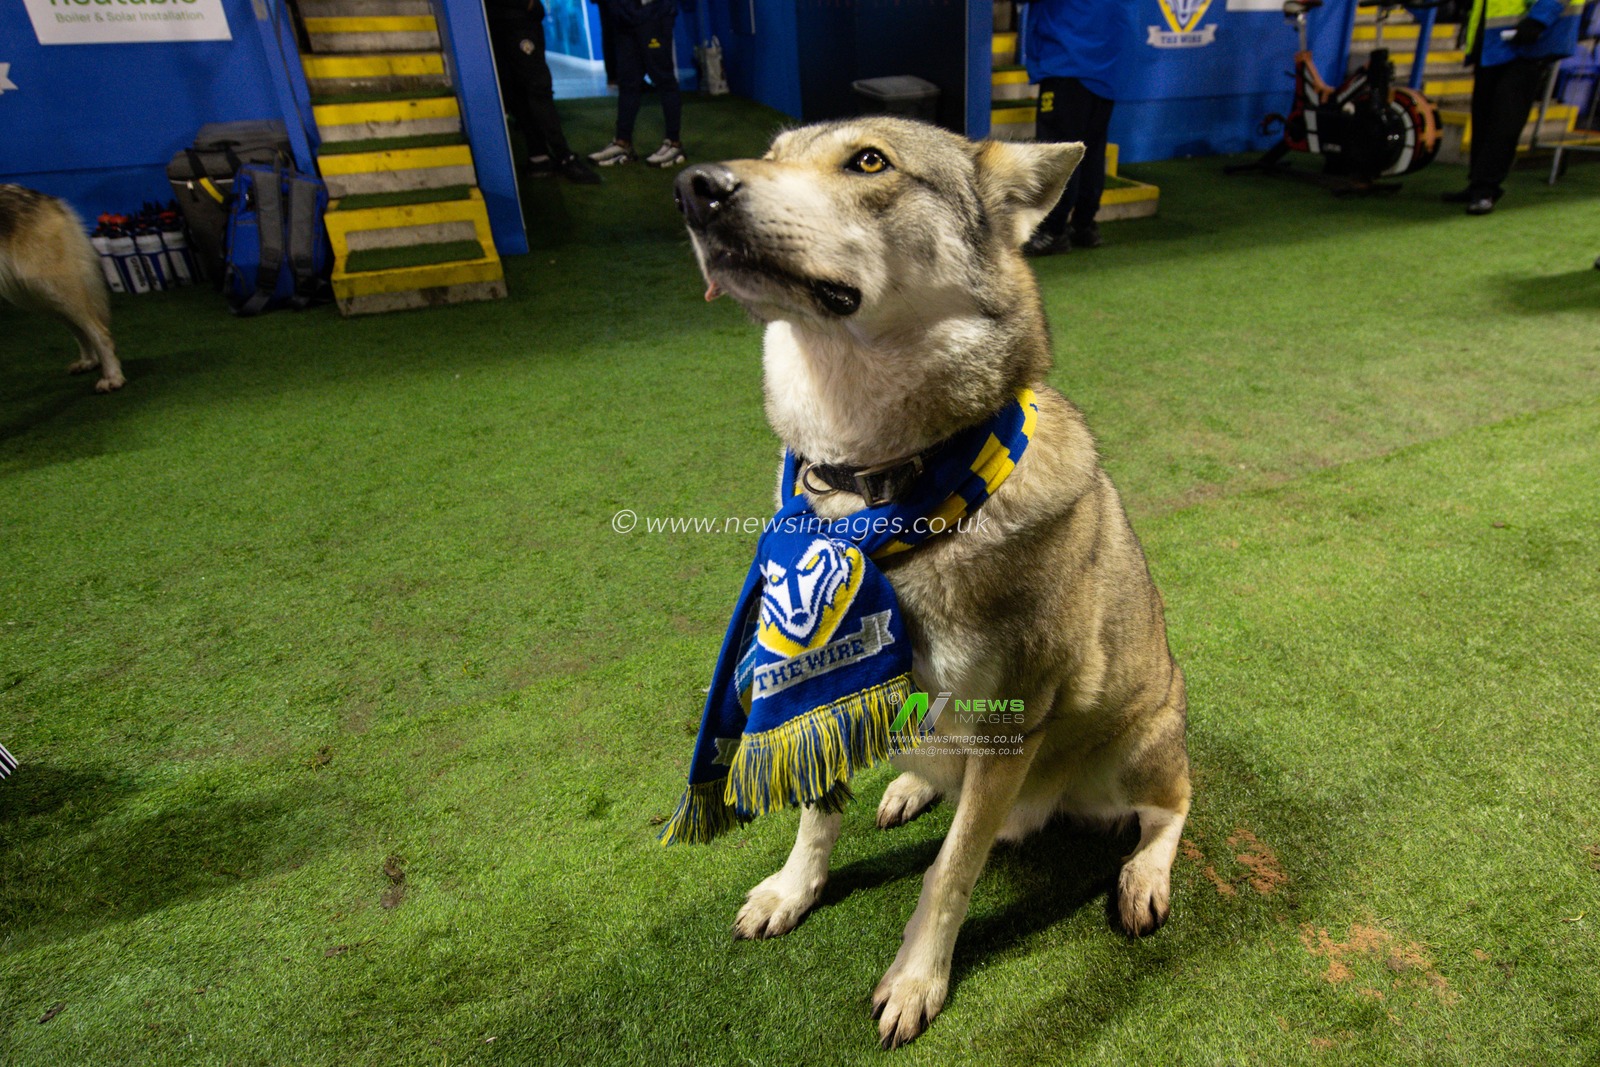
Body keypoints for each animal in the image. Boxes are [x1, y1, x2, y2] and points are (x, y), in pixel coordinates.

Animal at [0, 185, 124, 393]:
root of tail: (50, 198)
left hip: (53, 291)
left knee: (101, 333)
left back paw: (112, 377)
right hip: (39, 300)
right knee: (81, 331)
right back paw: (89, 362)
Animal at [673, 117, 1191, 1048]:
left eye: (868, 161)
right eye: (771, 150)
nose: (697, 187)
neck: (873, 486)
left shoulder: (1011, 720)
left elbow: (949, 872)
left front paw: (917, 979)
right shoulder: (825, 675)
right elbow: (817, 809)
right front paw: (791, 891)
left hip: (1130, 749)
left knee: (1173, 805)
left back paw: (1142, 877)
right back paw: (911, 786)